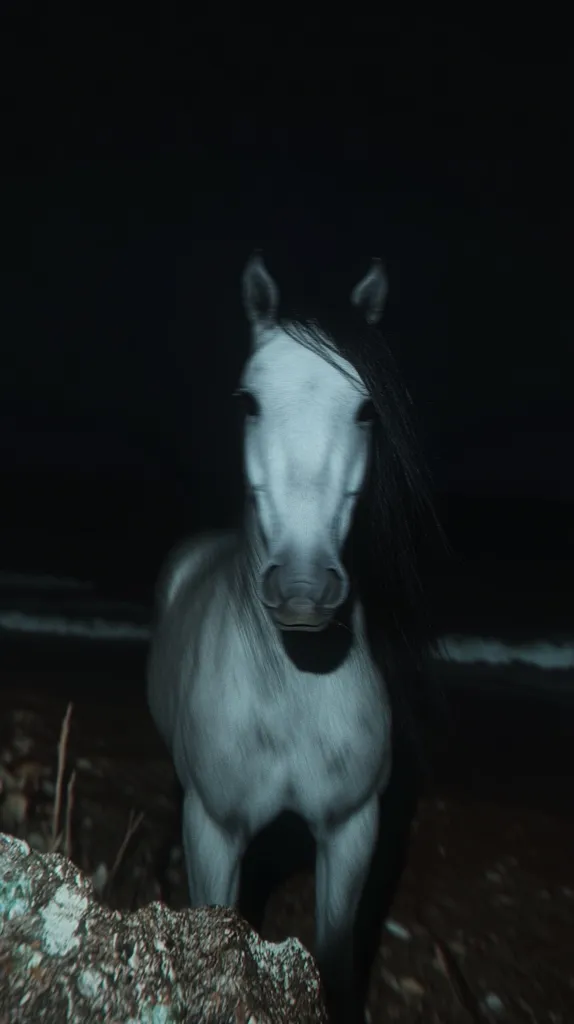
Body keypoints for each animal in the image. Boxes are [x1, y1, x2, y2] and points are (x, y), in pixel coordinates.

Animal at [147, 253, 442, 1024]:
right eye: (249, 402)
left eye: (366, 410)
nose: (305, 587)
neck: (290, 692)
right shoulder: (214, 831)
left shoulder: (352, 830)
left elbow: (335, 956)